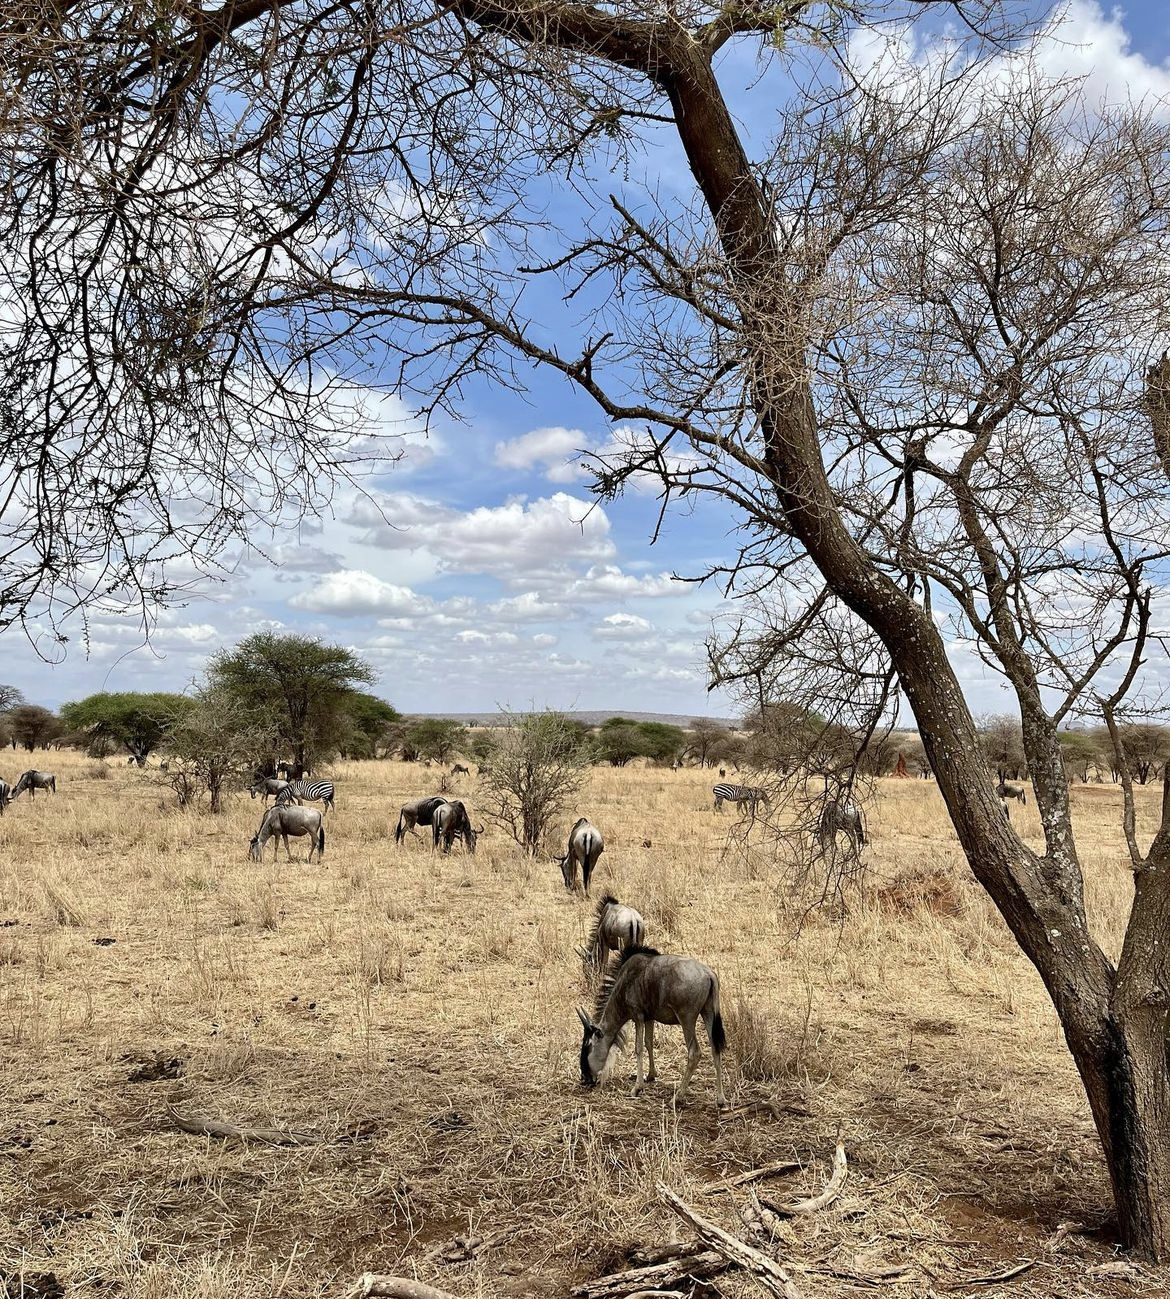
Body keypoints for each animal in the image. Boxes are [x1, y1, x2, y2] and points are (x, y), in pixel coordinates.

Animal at [576, 940, 727, 1111]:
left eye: (588, 1046)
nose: (585, 1078)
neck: (624, 982)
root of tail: (708, 974)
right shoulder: (650, 1018)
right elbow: (649, 1043)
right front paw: (650, 1075)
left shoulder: (638, 1016)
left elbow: (638, 1048)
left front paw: (637, 1088)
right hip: (709, 1014)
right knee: (715, 1048)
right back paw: (720, 1099)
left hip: (687, 1018)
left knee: (694, 1052)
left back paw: (676, 1098)